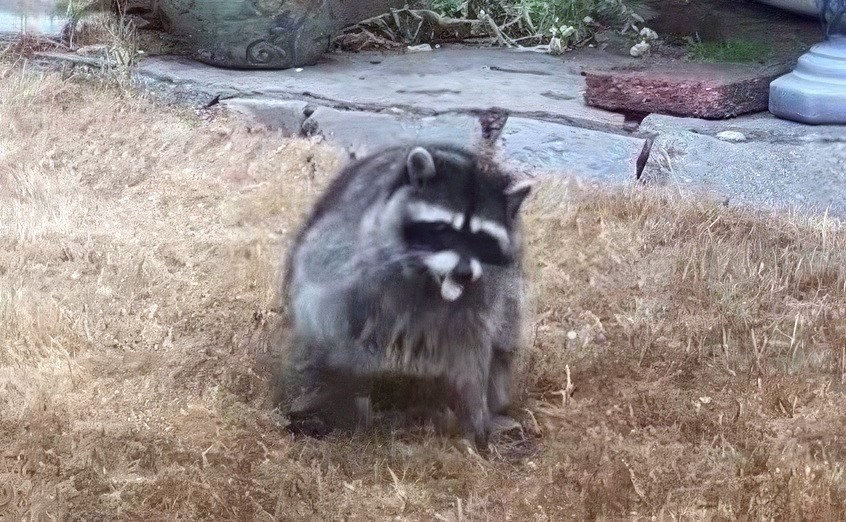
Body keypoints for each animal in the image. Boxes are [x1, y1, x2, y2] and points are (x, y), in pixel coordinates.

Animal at [280, 142, 532, 448]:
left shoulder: (488, 287)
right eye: (443, 229)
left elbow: (472, 344)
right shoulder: (359, 257)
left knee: (501, 340)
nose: (462, 273)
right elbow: (336, 312)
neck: (430, 277)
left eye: (481, 239)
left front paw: (473, 412)